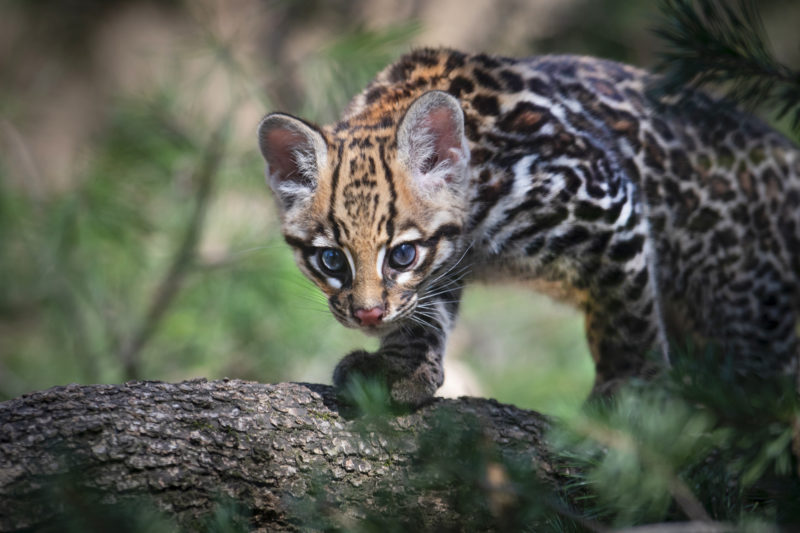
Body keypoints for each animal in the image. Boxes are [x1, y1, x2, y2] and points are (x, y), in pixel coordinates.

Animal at [258, 47, 800, 406]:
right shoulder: (447, 265)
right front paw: (399, 366)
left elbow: (627, 316)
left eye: (402, 254)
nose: (369, 316)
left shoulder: (612, 204)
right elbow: (425, 310)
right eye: (331, 259)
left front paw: (633, 391)